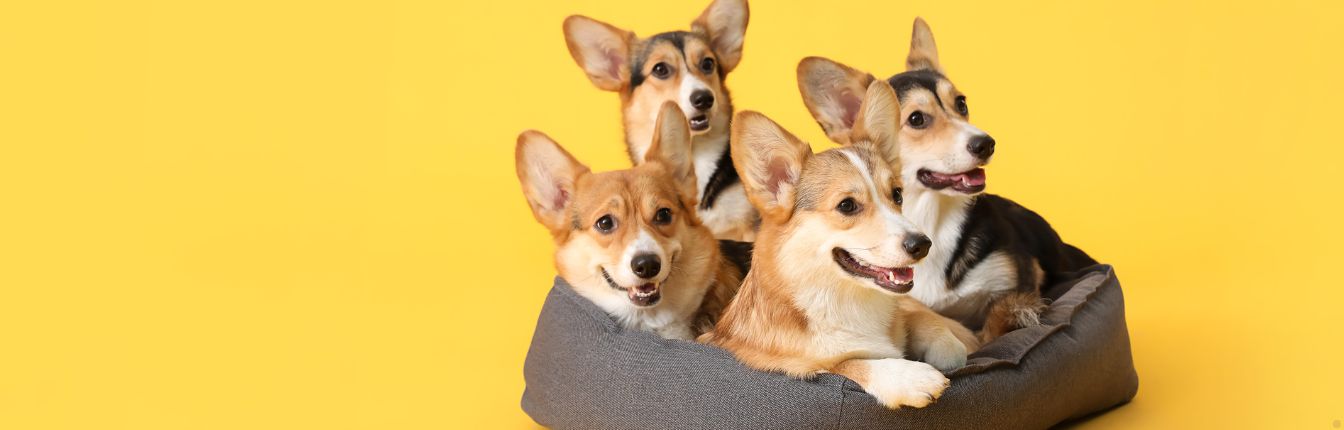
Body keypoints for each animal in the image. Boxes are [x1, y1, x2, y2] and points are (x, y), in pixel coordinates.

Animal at [704, 82, 978, 408]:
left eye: (897, 195)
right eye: (847, 206)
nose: (922, 245)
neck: (844, 299)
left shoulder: (910, 312)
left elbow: (936, 332)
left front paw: (946, 351)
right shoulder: (798, 366)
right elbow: (848, 364)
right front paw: (909, 376)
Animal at [790, 18, 1096, 342]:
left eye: (961, 104)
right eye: (917, 119)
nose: (986, 144)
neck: (931, 217)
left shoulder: (1016, 283)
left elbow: (996, 326)